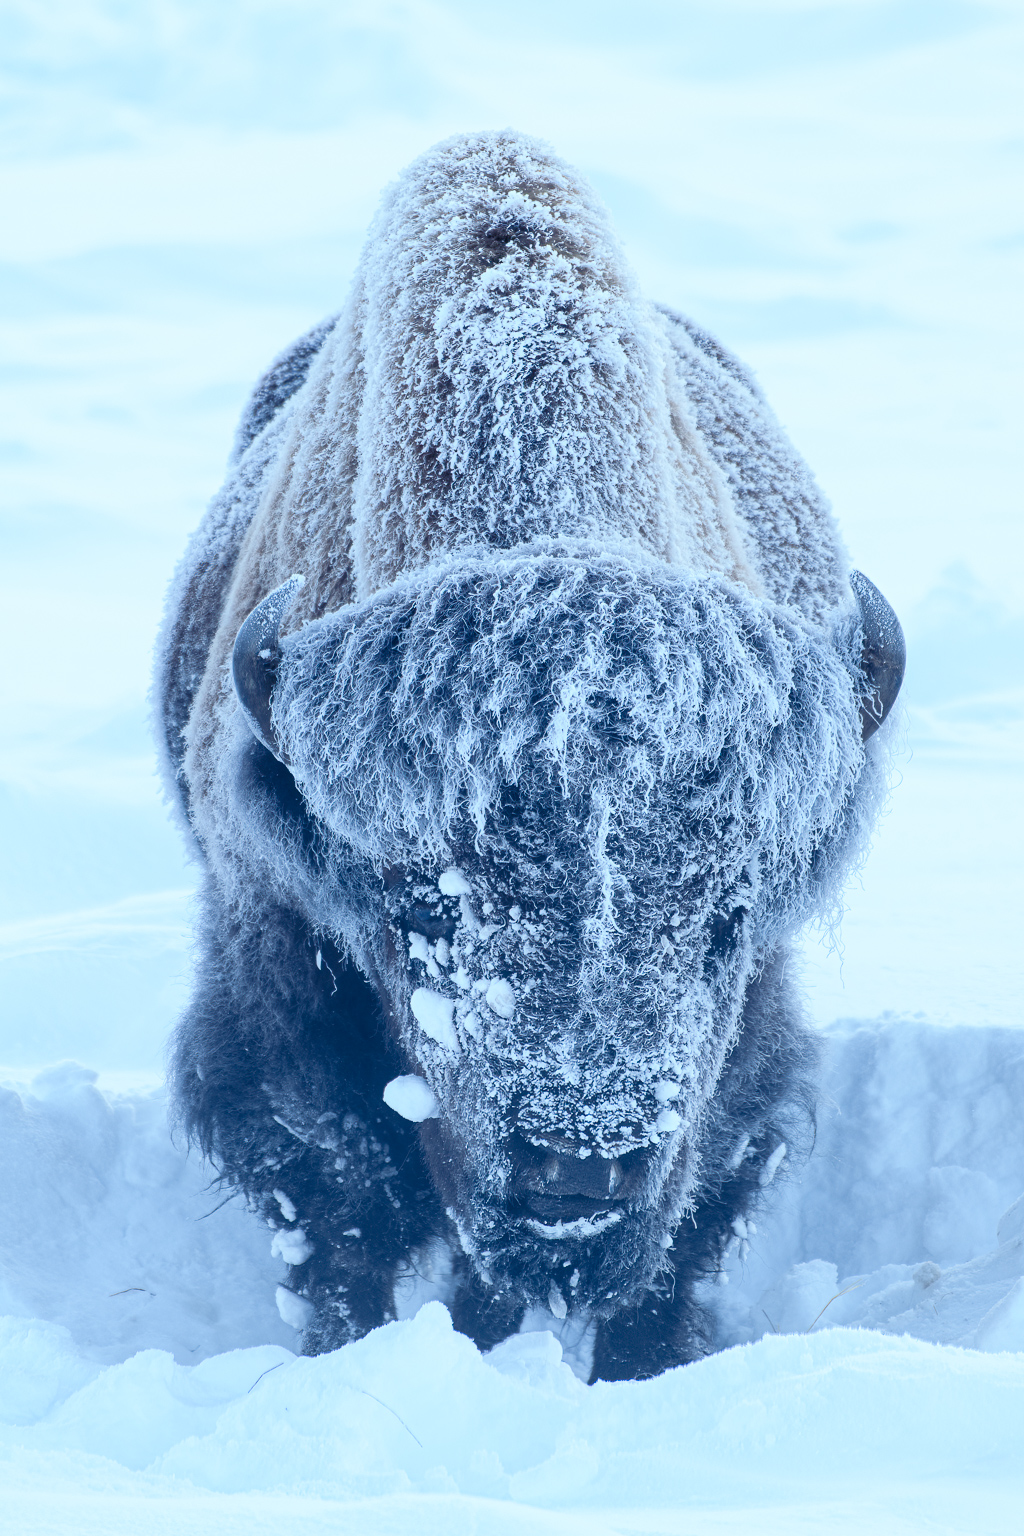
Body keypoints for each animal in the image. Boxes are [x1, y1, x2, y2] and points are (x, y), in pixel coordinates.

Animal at [156, 130, 903, 1381]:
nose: (581, 1163)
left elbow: (678, 1242)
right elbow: (343, 1214)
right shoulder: (274, 981)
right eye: (421, 910)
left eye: (726, 919)